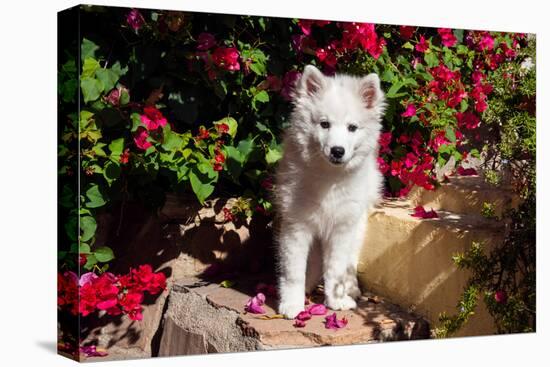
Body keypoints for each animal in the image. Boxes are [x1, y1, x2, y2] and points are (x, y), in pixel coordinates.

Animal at [274, 65, 386, 320]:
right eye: (324, 124)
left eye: (352, 128)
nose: (337, 151)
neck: (329, 178)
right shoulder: (296, 226)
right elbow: (294, 271)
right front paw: (292, 303)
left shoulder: (342, 229)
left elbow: (336, 270)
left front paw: (336, 300)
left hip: (357, 225)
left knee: (350, 262)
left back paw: (351, 288)